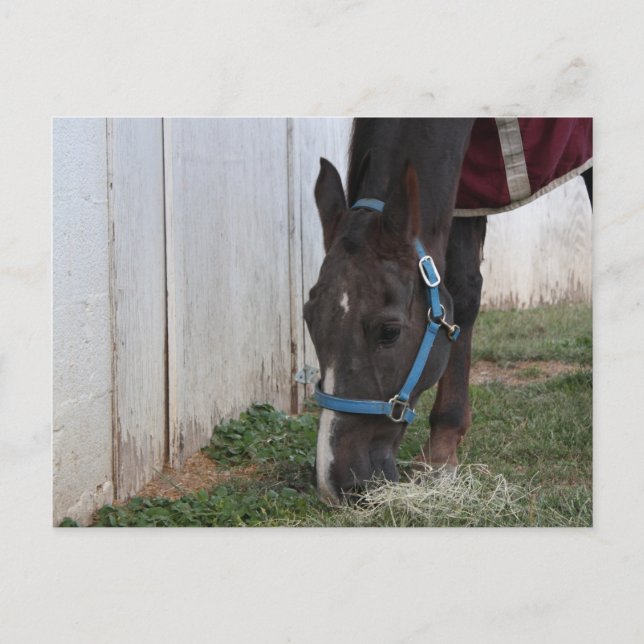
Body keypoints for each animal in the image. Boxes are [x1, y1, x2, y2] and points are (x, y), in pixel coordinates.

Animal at [304, 117, 592, 504]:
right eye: (309, 318)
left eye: (389, 332)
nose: (336, 483)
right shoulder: (466, 192)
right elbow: (462, 291)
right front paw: (441, 451)